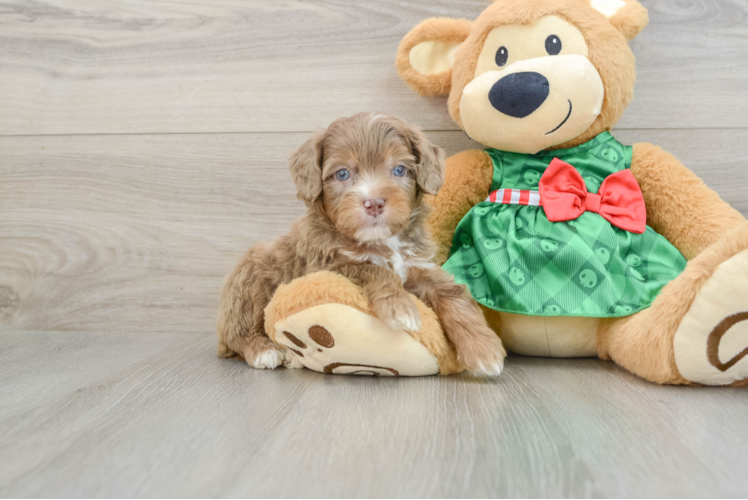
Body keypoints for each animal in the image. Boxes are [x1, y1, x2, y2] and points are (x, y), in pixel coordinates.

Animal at [218, 110, 508, 376]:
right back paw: (265, 350)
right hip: (251, 275)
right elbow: (374, 269)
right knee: (238, 333)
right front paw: (400, 308)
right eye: (342, 174)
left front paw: (485, 351)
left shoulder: (420, 266)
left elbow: (455, 296)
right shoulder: (327, 266)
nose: (374, 202)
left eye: (399, 170)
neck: (383, 240)